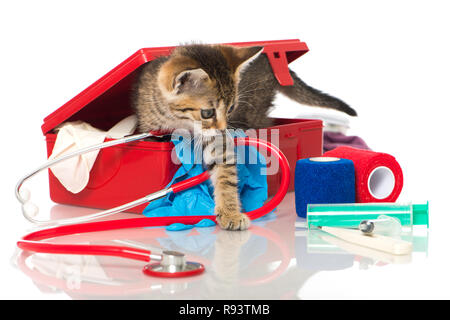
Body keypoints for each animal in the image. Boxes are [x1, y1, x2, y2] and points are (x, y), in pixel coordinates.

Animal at [132, 43, 356, 231]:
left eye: (231, 108)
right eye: (207, 112)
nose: (225, 129)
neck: (181, 121)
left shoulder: (218, 142)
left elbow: (226, 176)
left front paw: (230, 213)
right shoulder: (151, 125)